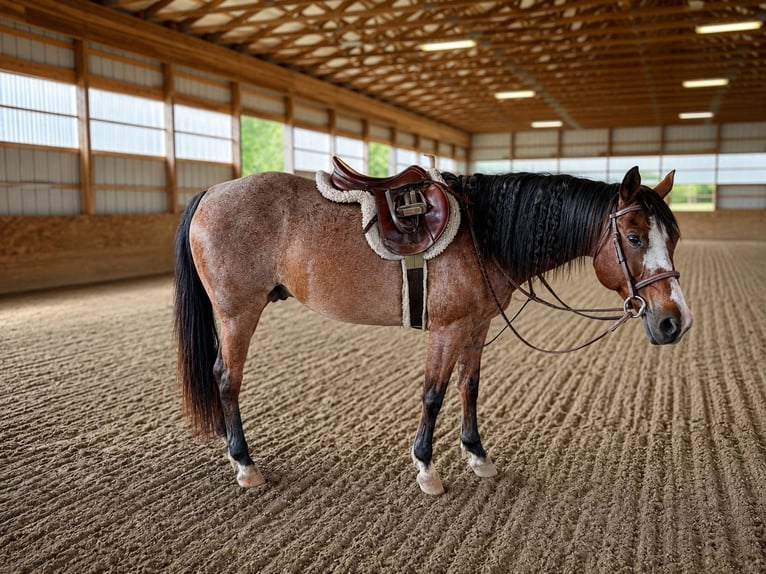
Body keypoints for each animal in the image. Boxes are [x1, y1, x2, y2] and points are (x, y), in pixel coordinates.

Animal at [173, 165, 693, 495]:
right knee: (226, 378)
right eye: (633, 237)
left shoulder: (477, 325)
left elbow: (468, 388)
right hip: (237, 313)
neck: (483, 232)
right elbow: (434, 394)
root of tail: (211, 193)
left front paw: (478, 455)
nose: (675, 321)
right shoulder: (447, 329)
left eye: (674, 238)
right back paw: (244, 464)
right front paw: (426, 468)